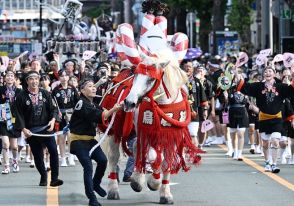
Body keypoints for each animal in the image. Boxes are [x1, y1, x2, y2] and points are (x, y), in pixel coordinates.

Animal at [123, 48, 202, 204]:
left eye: (150, 79)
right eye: (135, 74)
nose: (129, 102)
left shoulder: (172, 136)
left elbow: (167, 162)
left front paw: (165, 193)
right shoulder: (146, 131)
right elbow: (150, 154)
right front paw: (152, 182)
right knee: (137, 148)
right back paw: (136, 180)